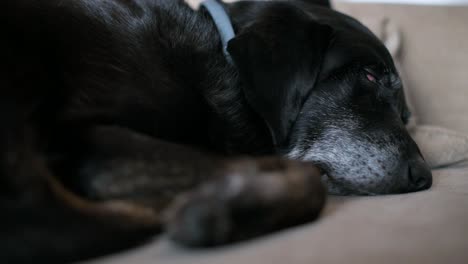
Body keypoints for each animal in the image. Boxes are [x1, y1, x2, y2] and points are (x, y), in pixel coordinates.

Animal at [0, 0, 432, 262]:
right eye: (370, 76)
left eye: (406, 113)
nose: (424, 178)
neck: (221, 59)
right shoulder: (82, 136)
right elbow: (301, 176)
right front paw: (221, 210)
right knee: (37, 213)